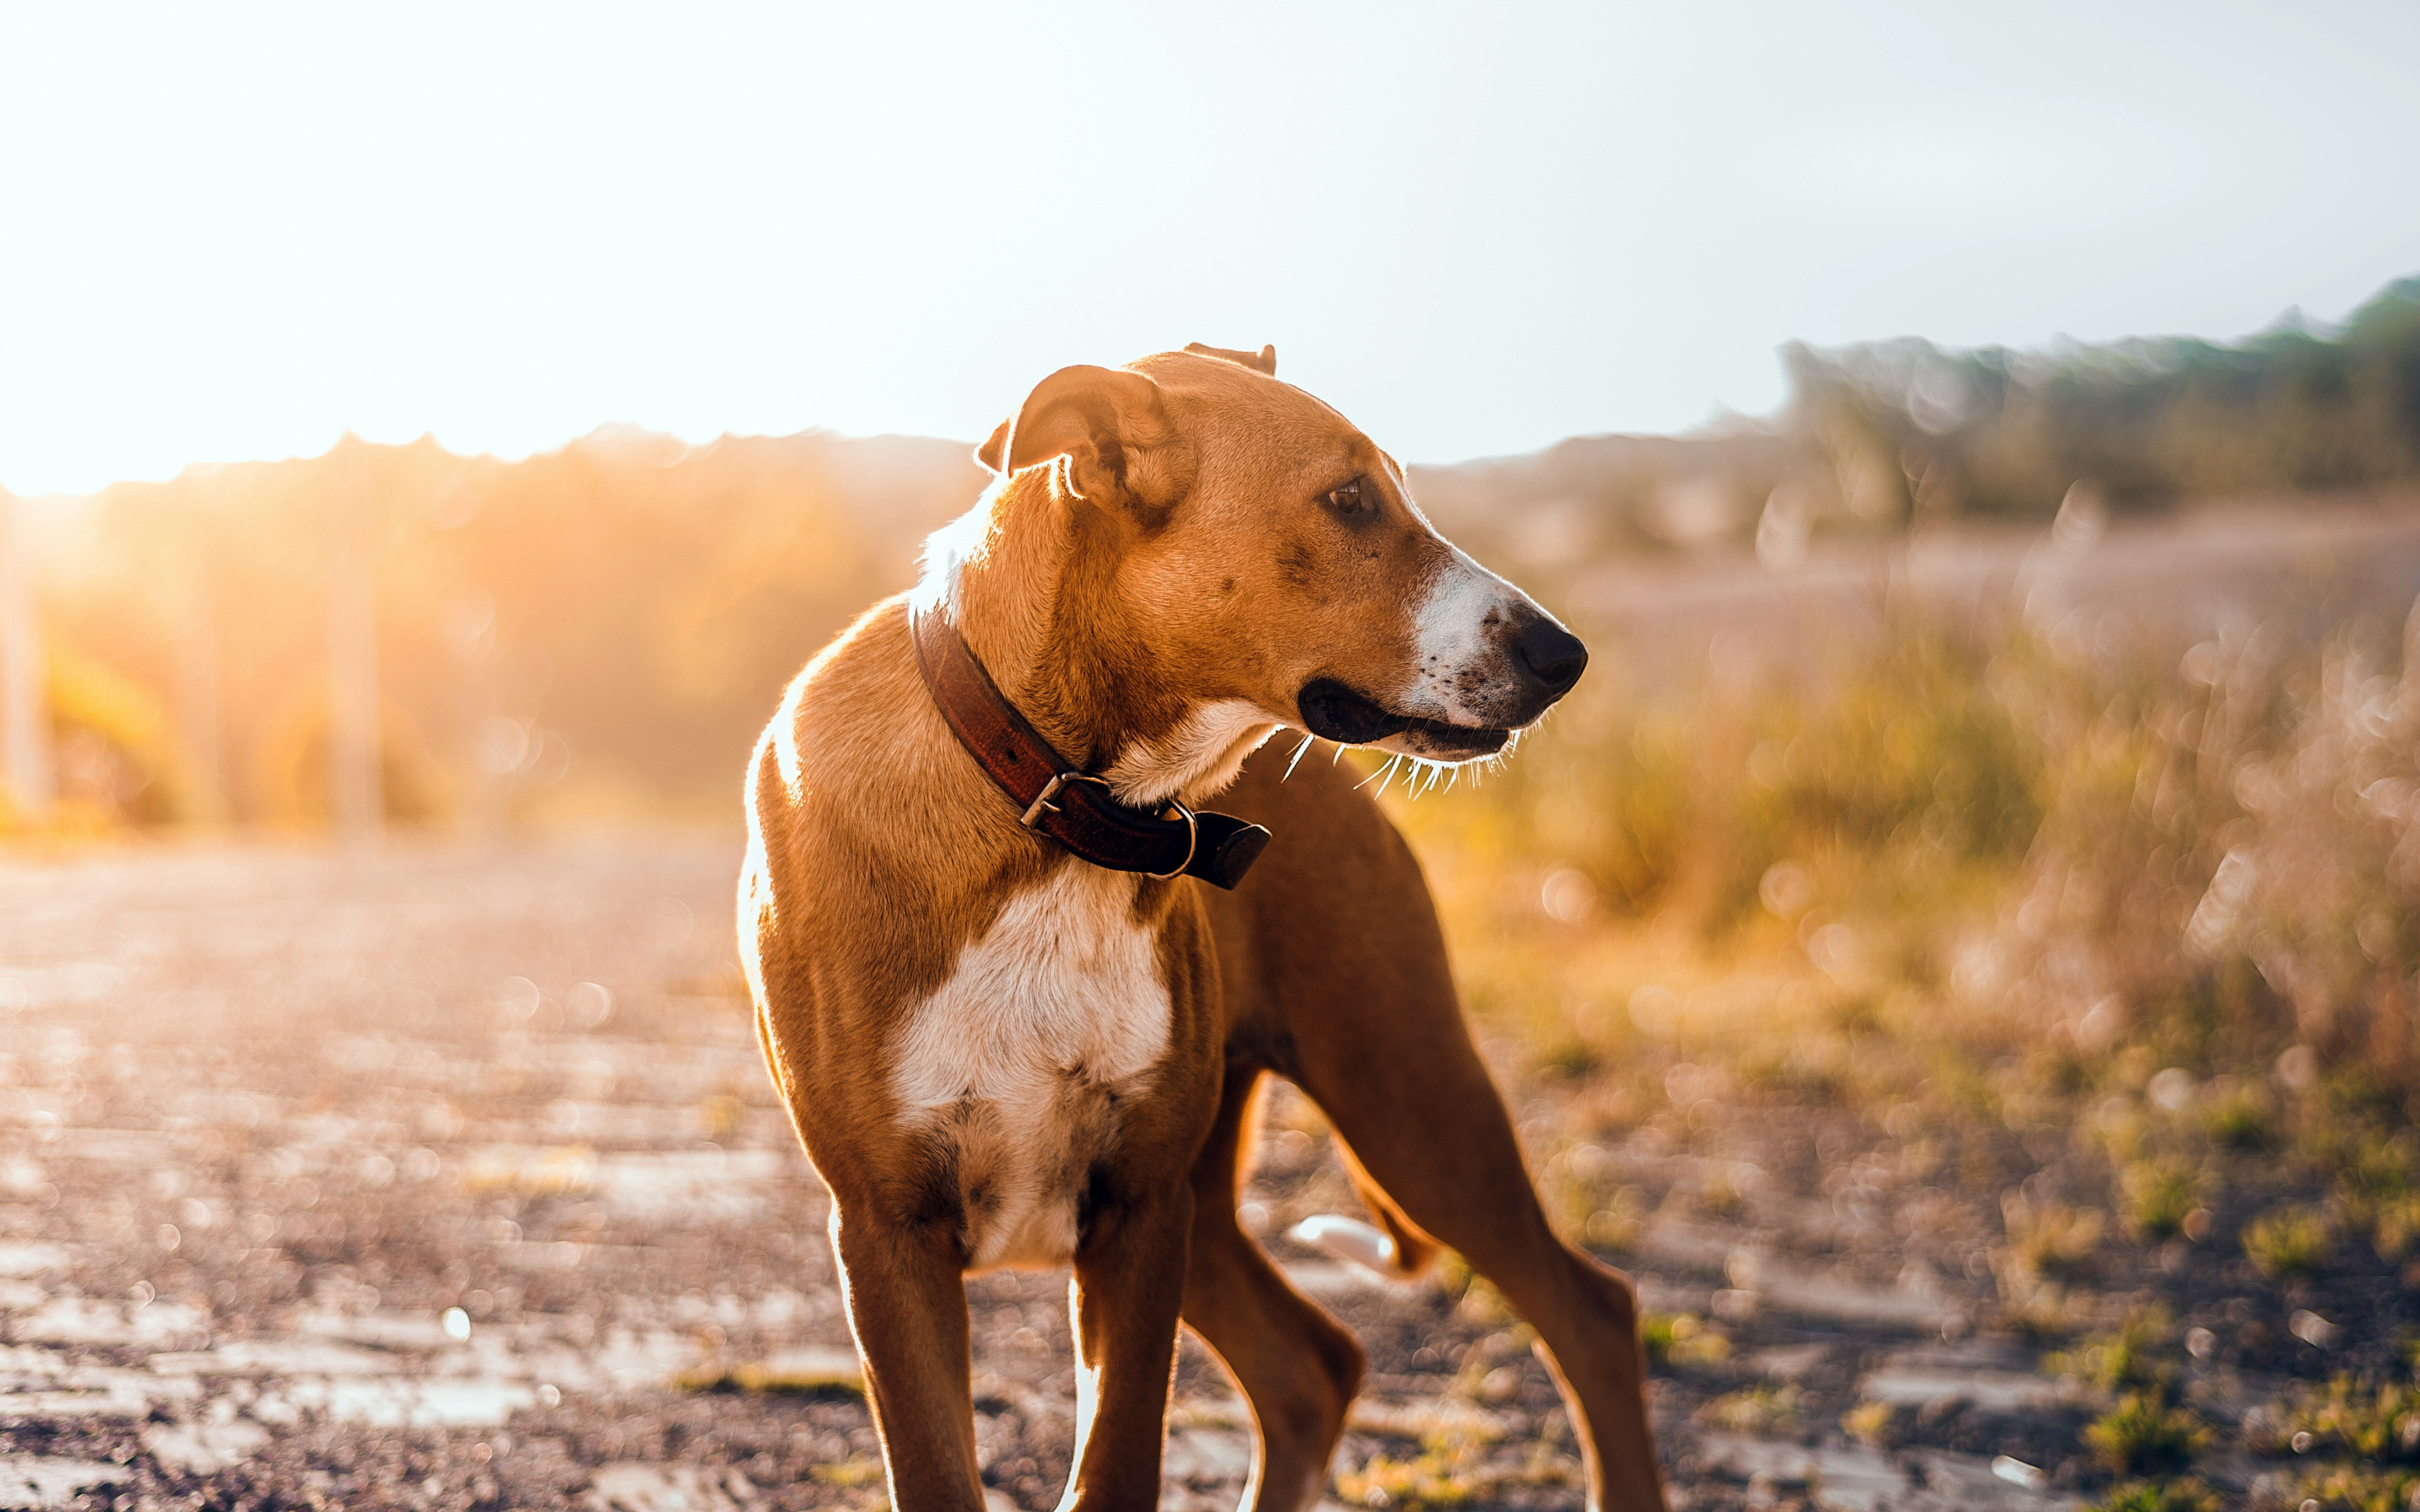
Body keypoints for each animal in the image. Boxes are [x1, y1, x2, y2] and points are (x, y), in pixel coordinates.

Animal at [735, 346, 1664, 1509]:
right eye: (1348, 500)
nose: (1564, 656)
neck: (1055, 806)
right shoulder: (890, 1231)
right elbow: (944, 1476)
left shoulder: (1139, 1214)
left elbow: (1118, 1469)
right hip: (1243, 1198)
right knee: (1316, 1365)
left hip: (1402, 1096)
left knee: (1587, 1314)